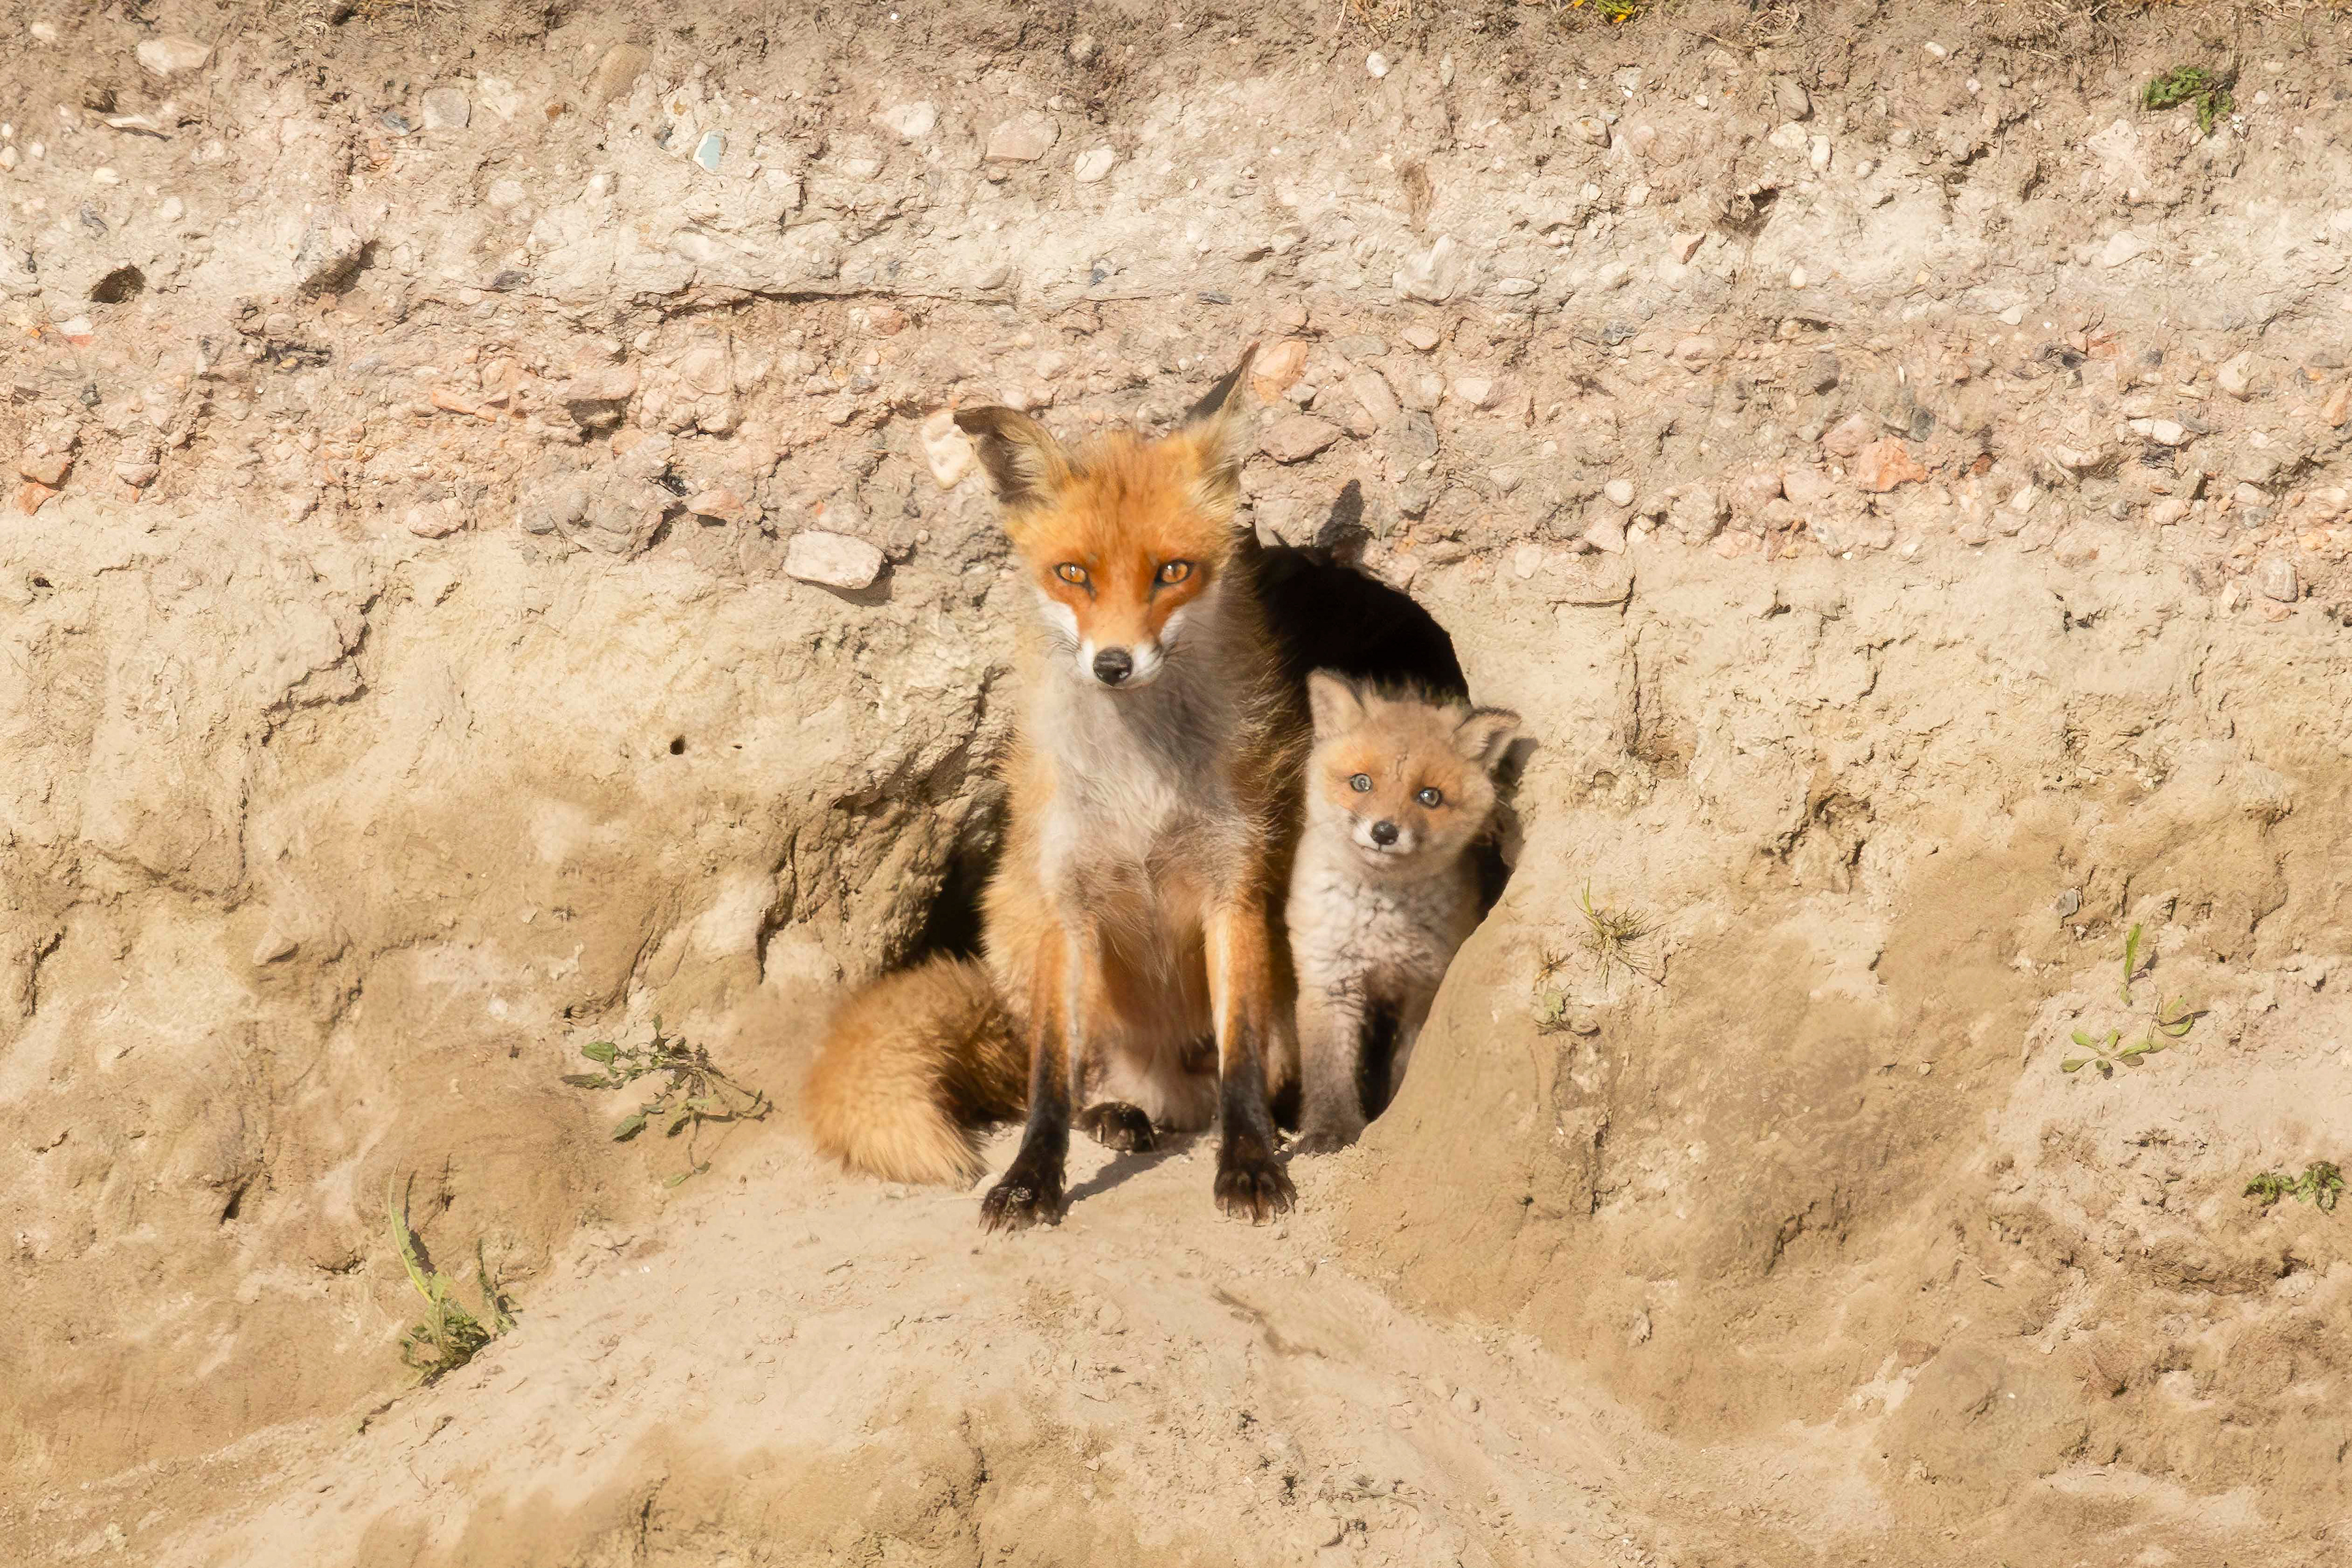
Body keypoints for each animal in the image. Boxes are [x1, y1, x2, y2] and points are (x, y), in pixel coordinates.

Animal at [803, 345, 1310, 1229]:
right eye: (1073, 573)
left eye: (1173, 573)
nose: (1113, 663)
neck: (1138, 785)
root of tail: (1169, 1087)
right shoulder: (1063, 905)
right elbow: (1045, 1084)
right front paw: (1031, 1180)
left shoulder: (1235, 891)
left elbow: (1243, 1058)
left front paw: (1249, 1161)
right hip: (1016, 922)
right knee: (1075, 1078)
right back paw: (1115, 1115)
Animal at [1286, 672, 1519, 1154]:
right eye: (1361, 783)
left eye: (1429, 796)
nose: (1384, 832)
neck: (1381, 922)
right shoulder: (1330, 978)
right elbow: (1328, 1072)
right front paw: (1328, 1132)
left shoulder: (1424, 988)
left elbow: (1406, 1069)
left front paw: (1392, 1118)